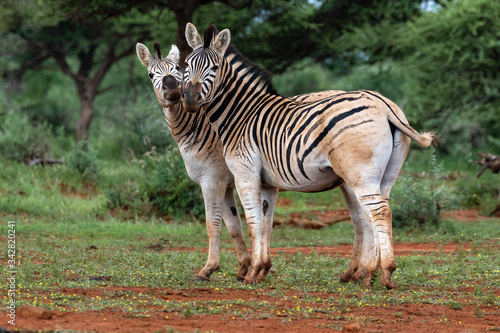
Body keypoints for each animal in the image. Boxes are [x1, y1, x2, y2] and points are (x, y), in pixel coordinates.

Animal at [182, 23, 440, 288]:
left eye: (214, 68)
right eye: (186, 65)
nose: (189, 99)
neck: (241, 114)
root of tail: (385, 106)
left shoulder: (245, 173)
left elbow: (253, 223)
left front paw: (250, 272)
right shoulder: (268, 182)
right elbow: (266, 224)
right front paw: (262, 268)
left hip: (360, 175)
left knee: (378, 212)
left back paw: (383, 273)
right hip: (384, 177)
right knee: (379, 212)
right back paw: (367, 273)